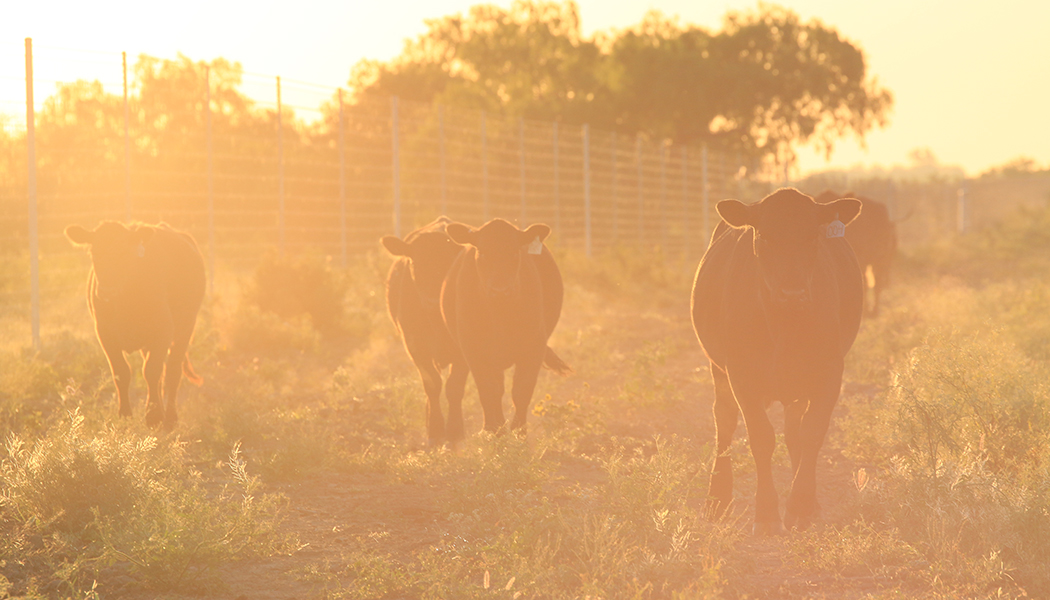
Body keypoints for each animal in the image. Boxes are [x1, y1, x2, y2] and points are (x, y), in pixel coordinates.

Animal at [66, 220, 206, 426]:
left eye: (124, 253)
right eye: (94, 253)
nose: (106, 291)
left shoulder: (163, 331)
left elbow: (151, 371)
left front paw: (153, 416)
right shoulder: (105, 334)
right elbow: (121, 372)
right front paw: (125, 414)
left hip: (186, 328)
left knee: (172, 371)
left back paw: (170, 418)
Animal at [382, 216, 468, 445]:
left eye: (450, 263)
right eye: (415, 263)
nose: (432, 300)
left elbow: (455, 386)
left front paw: (455, 431)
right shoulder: (415, 345)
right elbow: (432, 384)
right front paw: (435, 430)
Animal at [443, 218, 575, 435]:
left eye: (514, 252)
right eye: (482, 252)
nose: (500, 290)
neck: (500, 317)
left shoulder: (534, 347)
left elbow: (522, 391)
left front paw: (519, 432)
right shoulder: (474, 351)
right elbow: (487, 390)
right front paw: (492, 430)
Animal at [688, 189, 860, 535]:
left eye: (813, 236)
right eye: (764, 237)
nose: (792, 293)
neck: (784, 324)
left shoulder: (830, 371)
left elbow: (811, 433)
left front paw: (802, 506)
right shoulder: (741, 374)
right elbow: (761, 437)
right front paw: (767, 513)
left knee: (794, 432)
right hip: (718, 370)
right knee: (724, 420)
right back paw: (717, 500)